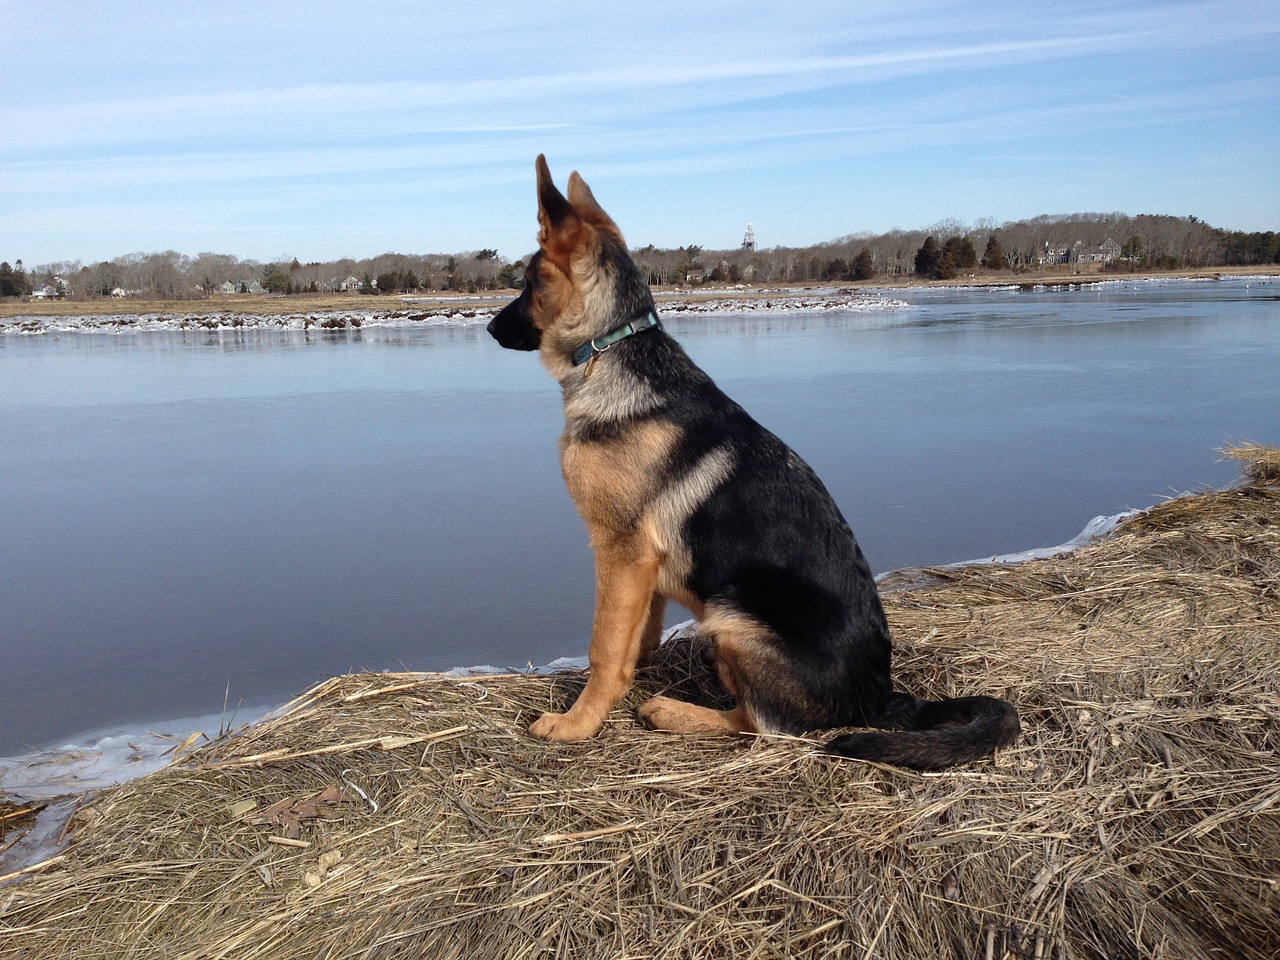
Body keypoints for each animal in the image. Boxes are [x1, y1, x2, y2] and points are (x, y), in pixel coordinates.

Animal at [486, 160, 1018, 773]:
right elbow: (638, 638)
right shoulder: (643, 564)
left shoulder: (620, 550)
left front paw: (578, 723)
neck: (610, 348)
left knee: (761, 724)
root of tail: (881, 698)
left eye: (530, 281)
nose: (489, 329)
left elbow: (604, 647)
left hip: (731, 613)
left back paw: (673, 712)